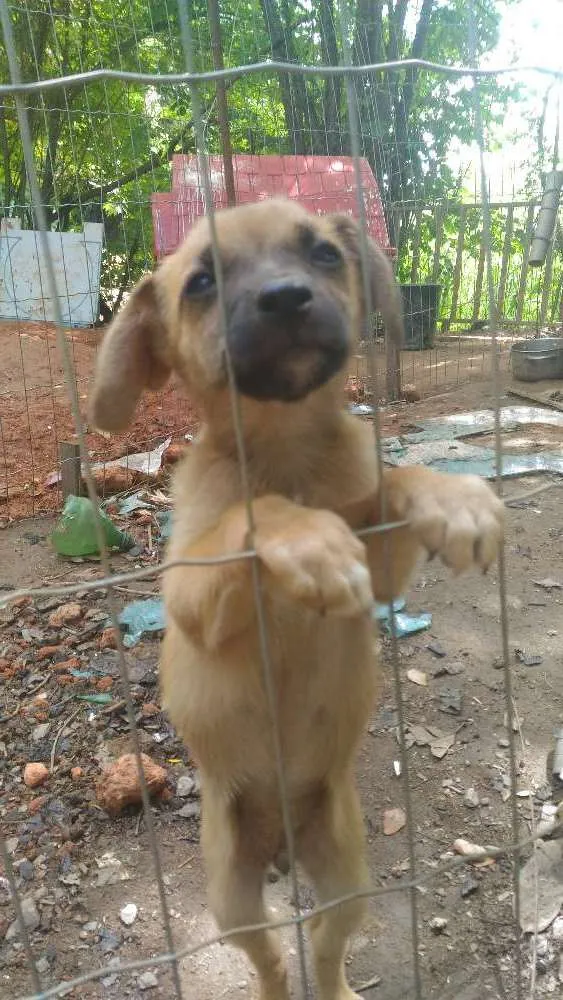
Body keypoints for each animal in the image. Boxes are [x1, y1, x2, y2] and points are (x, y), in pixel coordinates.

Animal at [90, 197, 504, 1000]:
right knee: (271, 955)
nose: (285, 298)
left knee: (326, 941)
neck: (285, 453)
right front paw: (305, 538)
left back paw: (336, 985)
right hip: (230, 891)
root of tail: (280, 845)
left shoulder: (378, 567)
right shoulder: (190, 596)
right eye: (201, 281)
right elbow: (252, 521)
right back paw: (273, 983)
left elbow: (396, 485)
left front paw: (455, 497)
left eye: (322, 254)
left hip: (346, 870)